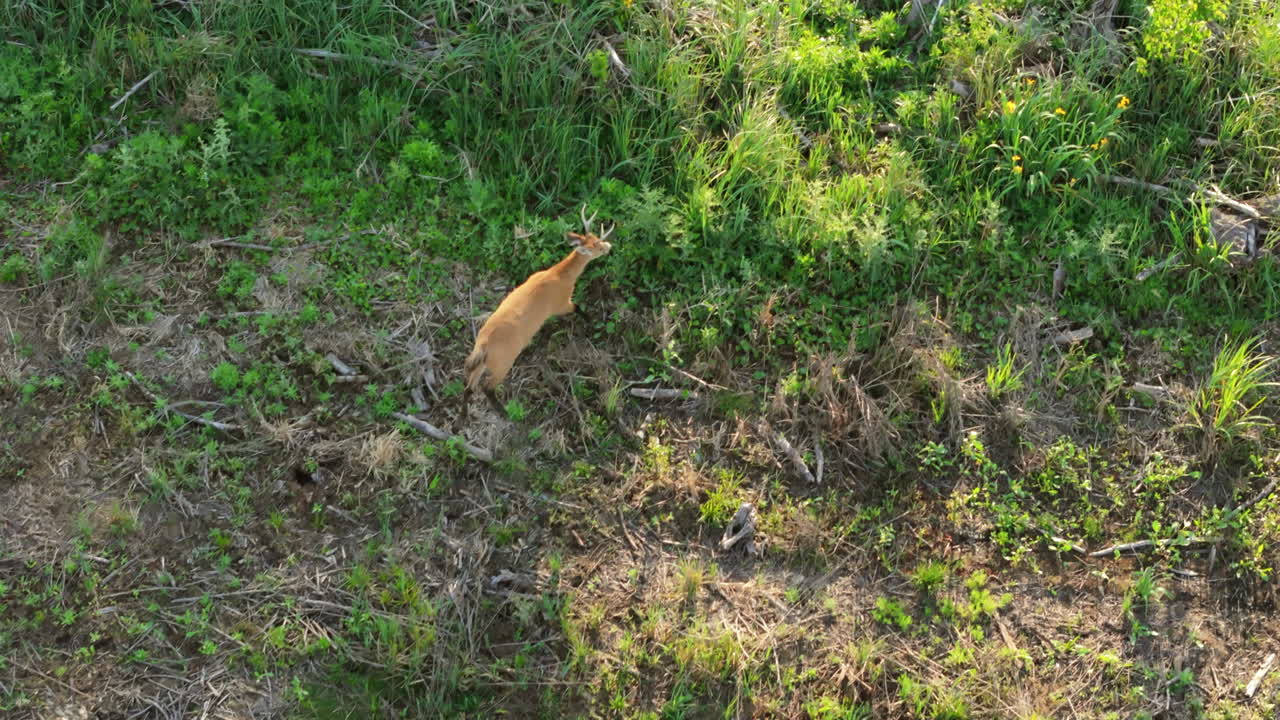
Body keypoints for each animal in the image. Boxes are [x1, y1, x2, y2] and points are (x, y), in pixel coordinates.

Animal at [462, 205, 614, 421]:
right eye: (597, 245)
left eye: (595, 237)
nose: (608, 246)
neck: (560, 275)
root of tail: (483, 345)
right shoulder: (561, 303)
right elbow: (578, 308)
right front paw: (592, 322)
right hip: (503, 361)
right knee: (486, 387)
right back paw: (505, 413)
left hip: (482, 362)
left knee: (469, 387)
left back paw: (463, 416)